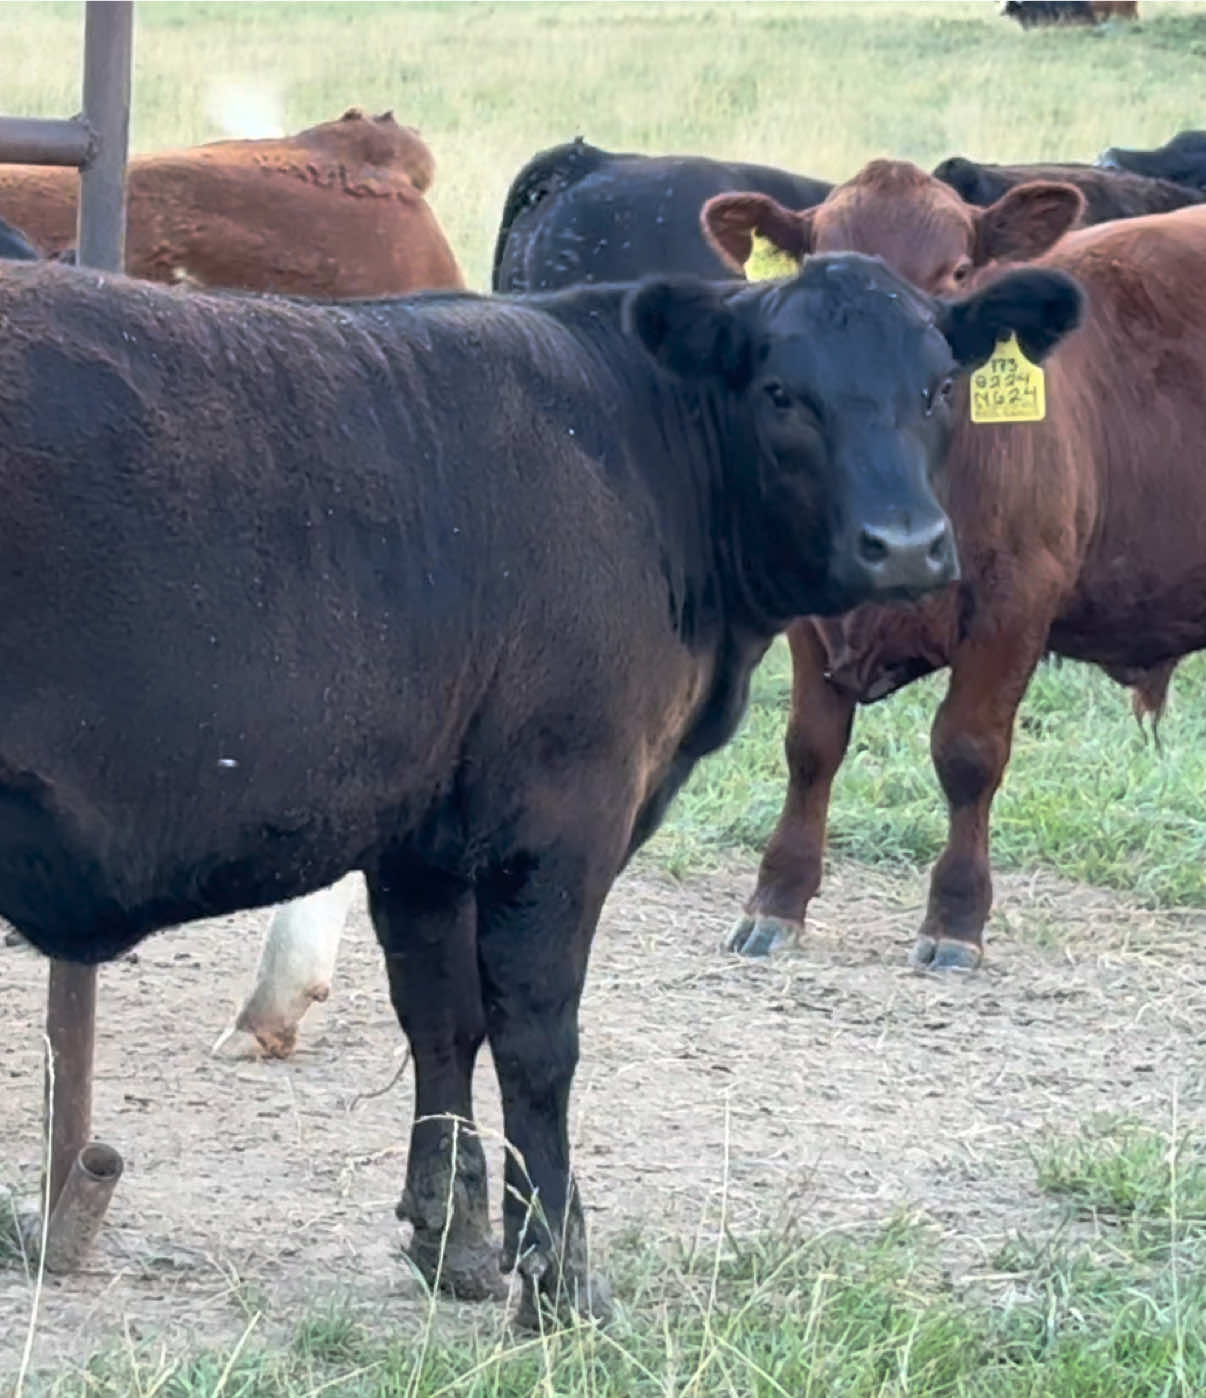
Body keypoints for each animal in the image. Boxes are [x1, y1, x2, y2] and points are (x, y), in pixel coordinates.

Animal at [0, 255, 1079, 1318]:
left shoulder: (424, 838)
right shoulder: (565, 815)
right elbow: (536, 1038)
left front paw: (454, 1243)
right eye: (783, 393)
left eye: (940, 386)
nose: (905, 544)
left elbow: (443, 1021)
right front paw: (560, 1277)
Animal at [702, 161, 1206, 971]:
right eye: (819, 271)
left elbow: (968, 752)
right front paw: (776, 901)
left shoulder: (1017, 596)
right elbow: (810, 747)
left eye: (959, 273)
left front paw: (956, 917)